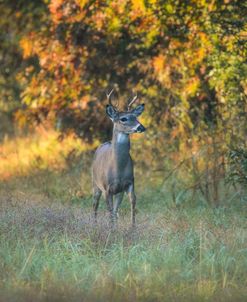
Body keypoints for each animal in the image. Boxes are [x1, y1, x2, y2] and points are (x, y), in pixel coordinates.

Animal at [91, 89, 146, 226]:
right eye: (123, 119)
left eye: (136, 117)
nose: (141, 127)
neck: (118, 169)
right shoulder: (106, 188)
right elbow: (109, 210)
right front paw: (111, 228)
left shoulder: (129, 183)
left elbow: (132, 202)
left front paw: (132, 227)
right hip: (95, 183)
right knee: (95, 205)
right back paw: (94, 224)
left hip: (118, 192)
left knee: (115, 210)